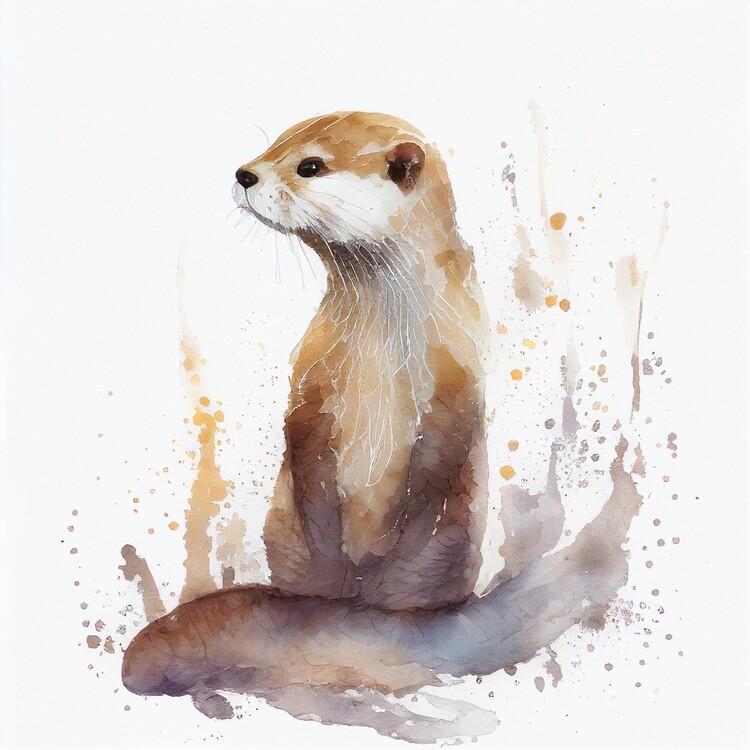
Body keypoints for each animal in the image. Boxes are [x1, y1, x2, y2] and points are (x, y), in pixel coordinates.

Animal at [233, 112, 489, 609]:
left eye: (310, 166)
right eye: (274, 144)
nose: (243, 174)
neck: (382, 348)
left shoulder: (458, 386)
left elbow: (431, 490)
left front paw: (384, 579)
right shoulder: (311, 381)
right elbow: (309, 470)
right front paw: (333, 574)